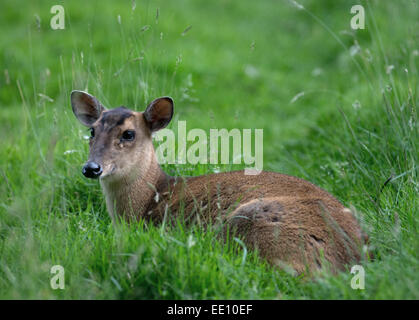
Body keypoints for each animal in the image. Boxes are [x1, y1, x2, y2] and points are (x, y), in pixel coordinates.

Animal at [70, 90, 370, 276]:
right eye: (92, 131)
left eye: (129, 134)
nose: (91, 168)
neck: (150, 197)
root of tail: (353, 257)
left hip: (253, 220)